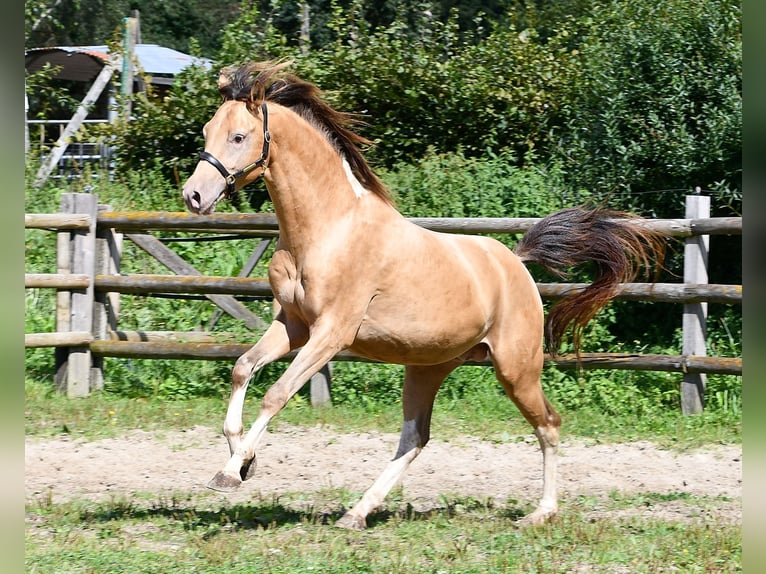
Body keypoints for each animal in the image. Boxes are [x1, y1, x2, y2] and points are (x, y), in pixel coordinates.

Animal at [181, 61, 665, 530]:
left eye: (239, 136)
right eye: (206, 131)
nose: (194, 195)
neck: (329, 229)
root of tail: (516, 264)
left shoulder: (332, 333)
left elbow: (276, 394)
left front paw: (230, 473)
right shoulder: (294, 326)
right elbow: (243, 369)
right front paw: (244, 462)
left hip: (517, 369)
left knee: (548, 424)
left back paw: (540, 513)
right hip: (428, 367)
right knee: (415, 437)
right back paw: (357, 513)